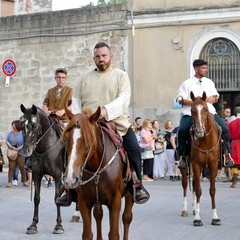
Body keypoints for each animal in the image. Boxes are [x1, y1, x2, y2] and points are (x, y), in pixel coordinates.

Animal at [62, 107, 134, 240]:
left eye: (88, 141)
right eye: (66, 139)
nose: (70, 179)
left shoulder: (115, 201)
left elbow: (114, 234)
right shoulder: (83, 201)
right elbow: (87, 234)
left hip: (129, 195)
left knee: (127, 218)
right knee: (98, 215)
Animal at [180, 91, 221, 226]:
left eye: (206, 109)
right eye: (191, 110)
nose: (198, 131)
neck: (205, 140)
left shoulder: (213, 165)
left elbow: (212, 190)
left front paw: (215, 217)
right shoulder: (197, 164)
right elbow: (198, 190)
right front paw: (197, 219)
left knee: (193, 182)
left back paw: (194, 208)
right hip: (185, 166)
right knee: (185, 184)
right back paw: (185, 209)